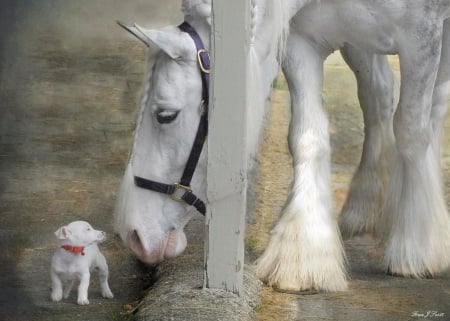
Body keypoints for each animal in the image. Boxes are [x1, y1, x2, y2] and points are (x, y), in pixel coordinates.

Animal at [116, 0, 450, 292]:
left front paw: (417, 249)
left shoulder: (423, 35)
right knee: (378, 96)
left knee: (429, 112)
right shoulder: (301, 42)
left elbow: (413, 131)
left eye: (165, 115)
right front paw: (303, 259)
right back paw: (364, 208)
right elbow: (307, 137)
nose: (134, 235)